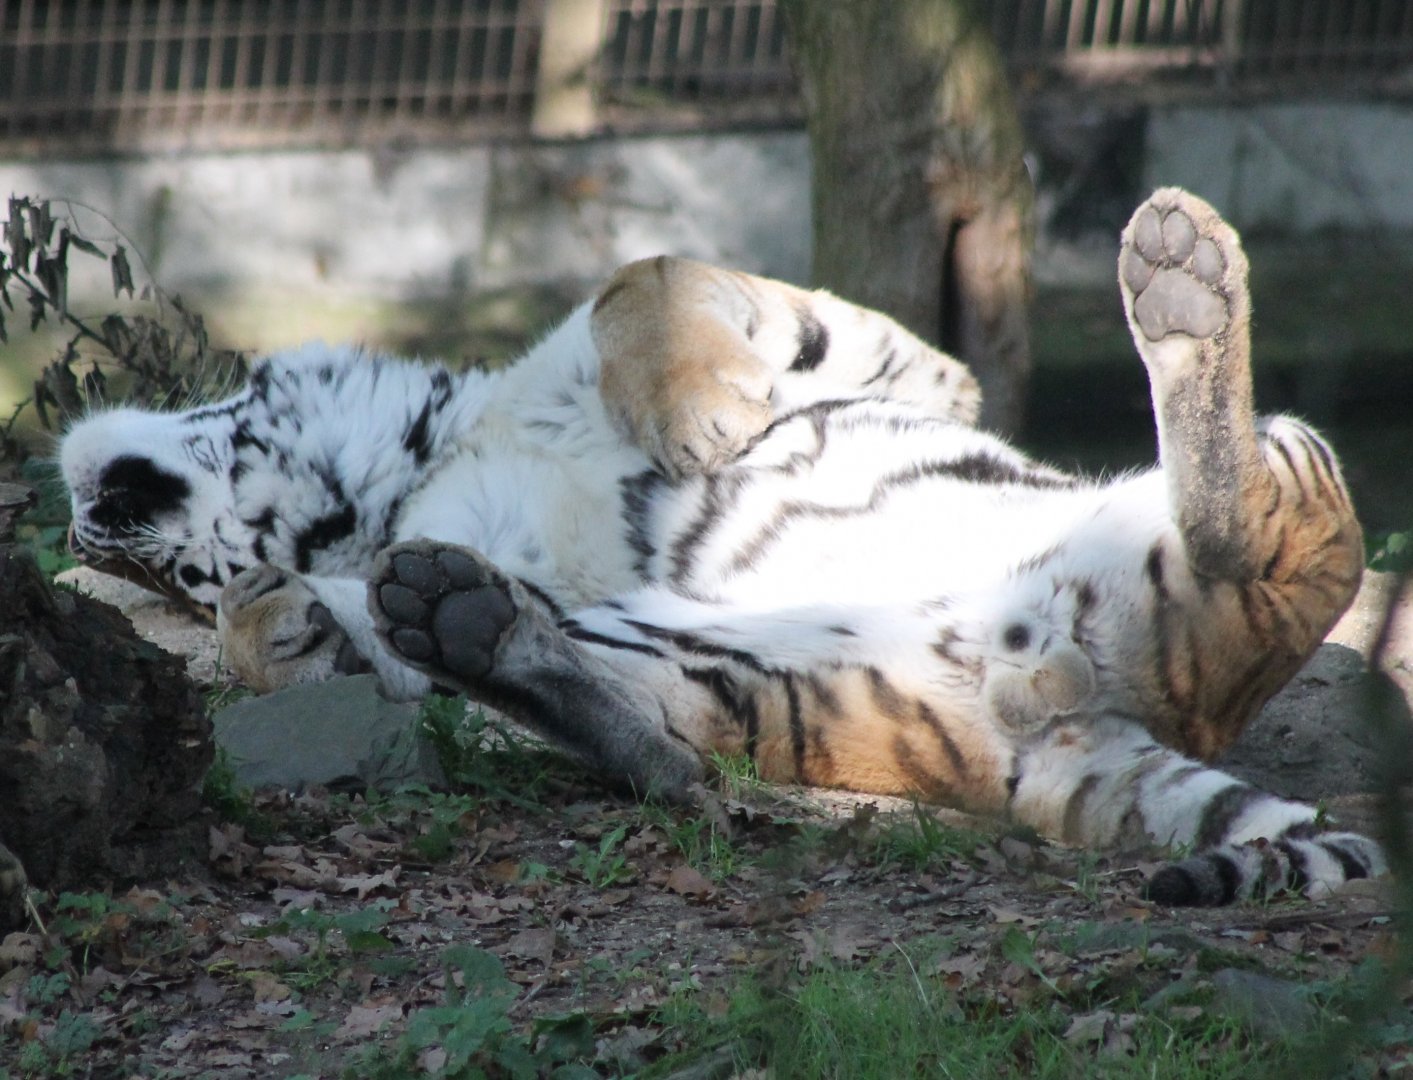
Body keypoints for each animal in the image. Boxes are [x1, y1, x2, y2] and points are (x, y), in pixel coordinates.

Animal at [60, 189, 1380, 906]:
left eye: (160, 568)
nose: (86, 520)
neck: (418, 469)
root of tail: (1066, 709)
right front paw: (284, 626)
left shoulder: (893, 354)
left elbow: (638, 278)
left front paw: (700, 420)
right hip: (759, 670)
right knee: (665, 757)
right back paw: (463, 622)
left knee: (1261, 519)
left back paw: (1181, 283)